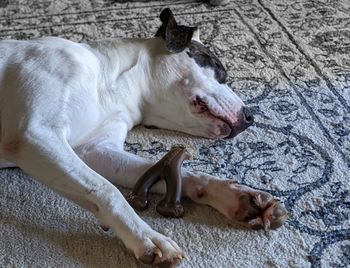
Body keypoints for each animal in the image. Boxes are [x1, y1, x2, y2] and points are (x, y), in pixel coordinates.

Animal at [0, 8, 288, 268]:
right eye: (218, 68)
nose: (250, 117)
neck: (111, 82)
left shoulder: (94, 151)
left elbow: (180, 173)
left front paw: (237, 196)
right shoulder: (36, 135)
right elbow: (106, 188)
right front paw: (147, 237)